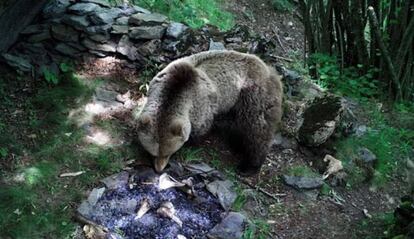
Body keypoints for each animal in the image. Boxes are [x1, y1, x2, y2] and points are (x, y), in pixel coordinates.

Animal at [134, 50, 284, 176]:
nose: (159, 169)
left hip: (253, 96)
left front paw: (191, 142)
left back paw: (248, 166)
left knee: (257, 130)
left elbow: (200, 128)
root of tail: (269, 70)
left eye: (168, 153)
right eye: (153, 153)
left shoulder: (201, 106)